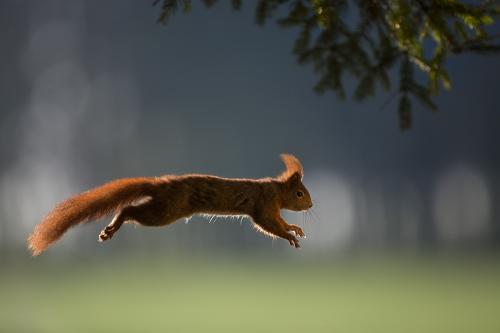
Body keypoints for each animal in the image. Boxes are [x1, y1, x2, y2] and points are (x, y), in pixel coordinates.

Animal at [27, 153, 312, 254]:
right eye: (300, 193)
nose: (310, 205)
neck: (277, 191)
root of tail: (162, 184)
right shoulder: (263, 205)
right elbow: (268, 225)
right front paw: (289, 236)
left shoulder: (273, 209)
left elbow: (279, 222)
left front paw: (294, 229)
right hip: (165, 211)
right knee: (128, 209)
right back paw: (112, 227)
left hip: (163, 208)